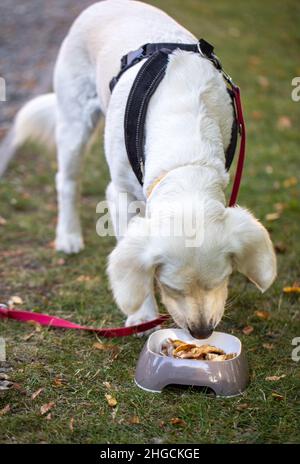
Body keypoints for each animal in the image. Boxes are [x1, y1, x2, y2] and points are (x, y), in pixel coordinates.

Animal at [4, 0, 276, 340]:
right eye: (171, 287)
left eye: (222, 280)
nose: (201, 333)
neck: (184, 158)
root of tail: (105, 4)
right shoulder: (119, 194)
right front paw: (142, 316)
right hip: (74, 122)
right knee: (66, 181)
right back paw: (68, 236)